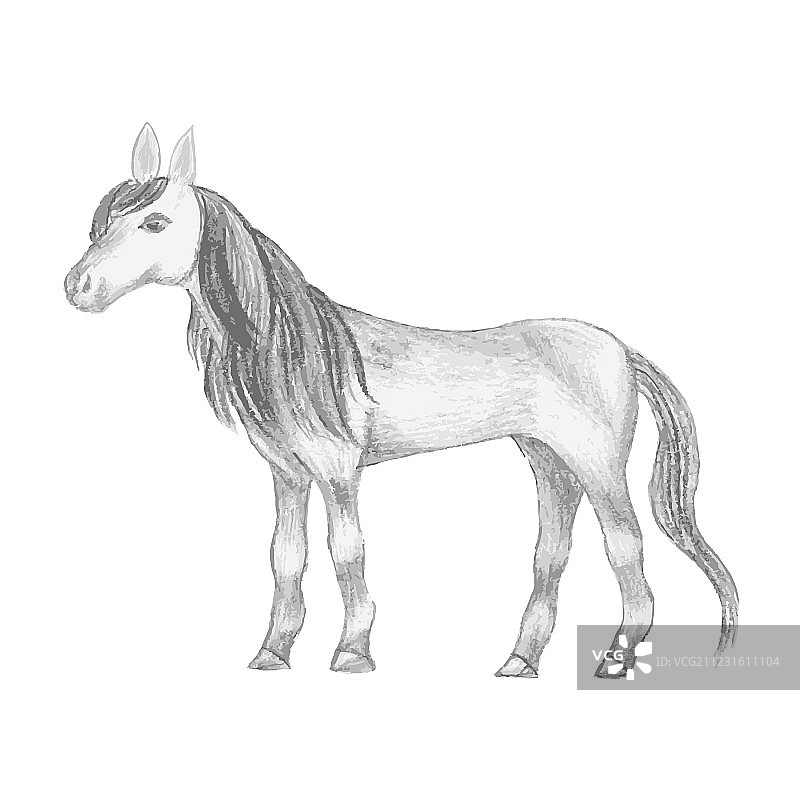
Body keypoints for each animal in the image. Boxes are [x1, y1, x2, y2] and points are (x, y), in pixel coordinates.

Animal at [64, 124, 738, 678]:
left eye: (153, 222)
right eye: (102, 222)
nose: (78, 286)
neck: (300, 350)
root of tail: (620, 349)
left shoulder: (338, 473)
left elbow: (346, 553)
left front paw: (352, 653)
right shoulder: (287, 475)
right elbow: (286, 557)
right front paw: (272, 653)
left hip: (598, 469)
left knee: (626, 552)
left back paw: (615, 661)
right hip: (550, 464)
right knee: (551, 554)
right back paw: (519, 661)